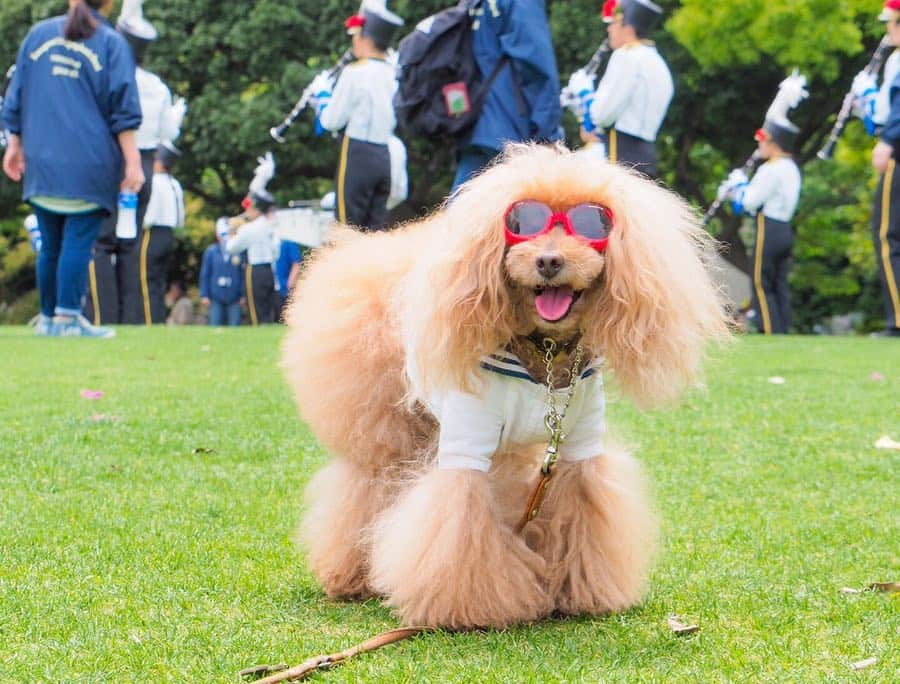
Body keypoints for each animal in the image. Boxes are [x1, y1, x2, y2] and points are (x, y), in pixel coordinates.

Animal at [284, 144, 732, 632]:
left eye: (593, 226)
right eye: (522, 223)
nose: (549, 261)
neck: (544, 351)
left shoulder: (578, 442)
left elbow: (584, 510)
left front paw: (583, 591)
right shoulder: (467, 439)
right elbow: (459, 522)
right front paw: (469, 606)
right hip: (390, 429)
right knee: (369, 490)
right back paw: (351, 575)